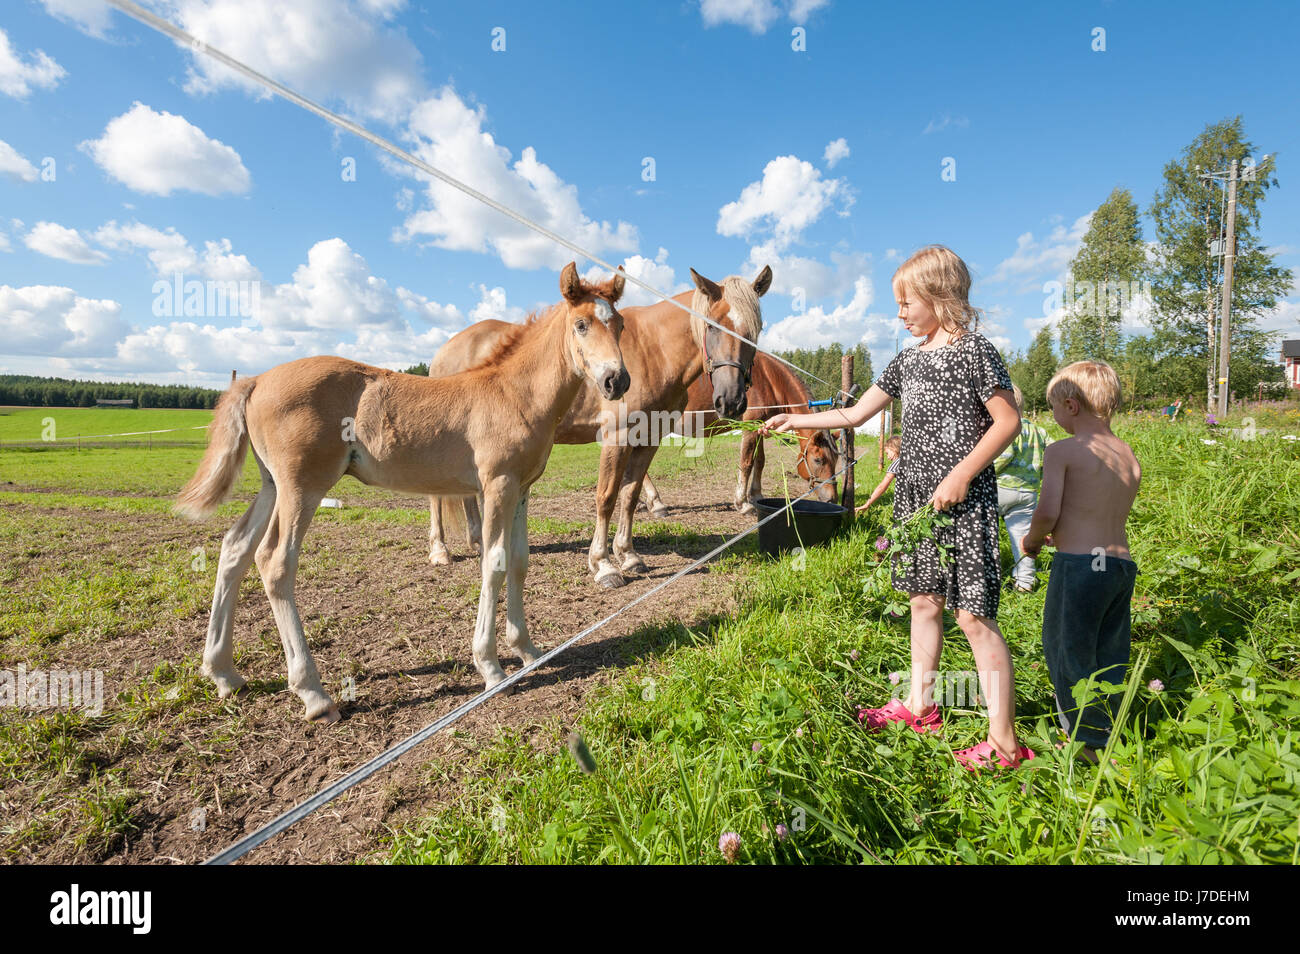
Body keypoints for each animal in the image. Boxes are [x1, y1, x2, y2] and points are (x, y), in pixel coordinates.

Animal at [178, 265, 629, 722]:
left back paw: (224, 673)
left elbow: (519, 562)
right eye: (581, 324)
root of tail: (255, 380)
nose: (617, 380)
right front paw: (490, 667)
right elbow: (494, 563)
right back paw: (313, 694)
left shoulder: (521, 490)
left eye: (620, 325)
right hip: (301, 486)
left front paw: (528, 651)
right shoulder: (497, 485)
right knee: (274, 562)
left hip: (273, 485)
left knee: (235, 548)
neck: (513, 394)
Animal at [426, 265, 769, 587]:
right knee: (436, 497)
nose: (732, 399)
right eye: (712, 326)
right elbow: (606, 497)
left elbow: (629, 496)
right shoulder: (616, 437)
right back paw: (440, 550)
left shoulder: (650, 438)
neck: (654, 349)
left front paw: (628, 555)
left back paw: (477, 543)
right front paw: (603, 564)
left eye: (755, 329)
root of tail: (445, 350)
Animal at [639, 348, 842, 514]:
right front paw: (743, 503)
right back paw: (656, 503)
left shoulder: (760, 425)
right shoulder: (750, 426)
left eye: (836, 460)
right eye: (818, 459)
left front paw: (756, 495)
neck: (770, 379)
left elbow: (760, 461)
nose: (832, 499)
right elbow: (746, 463)